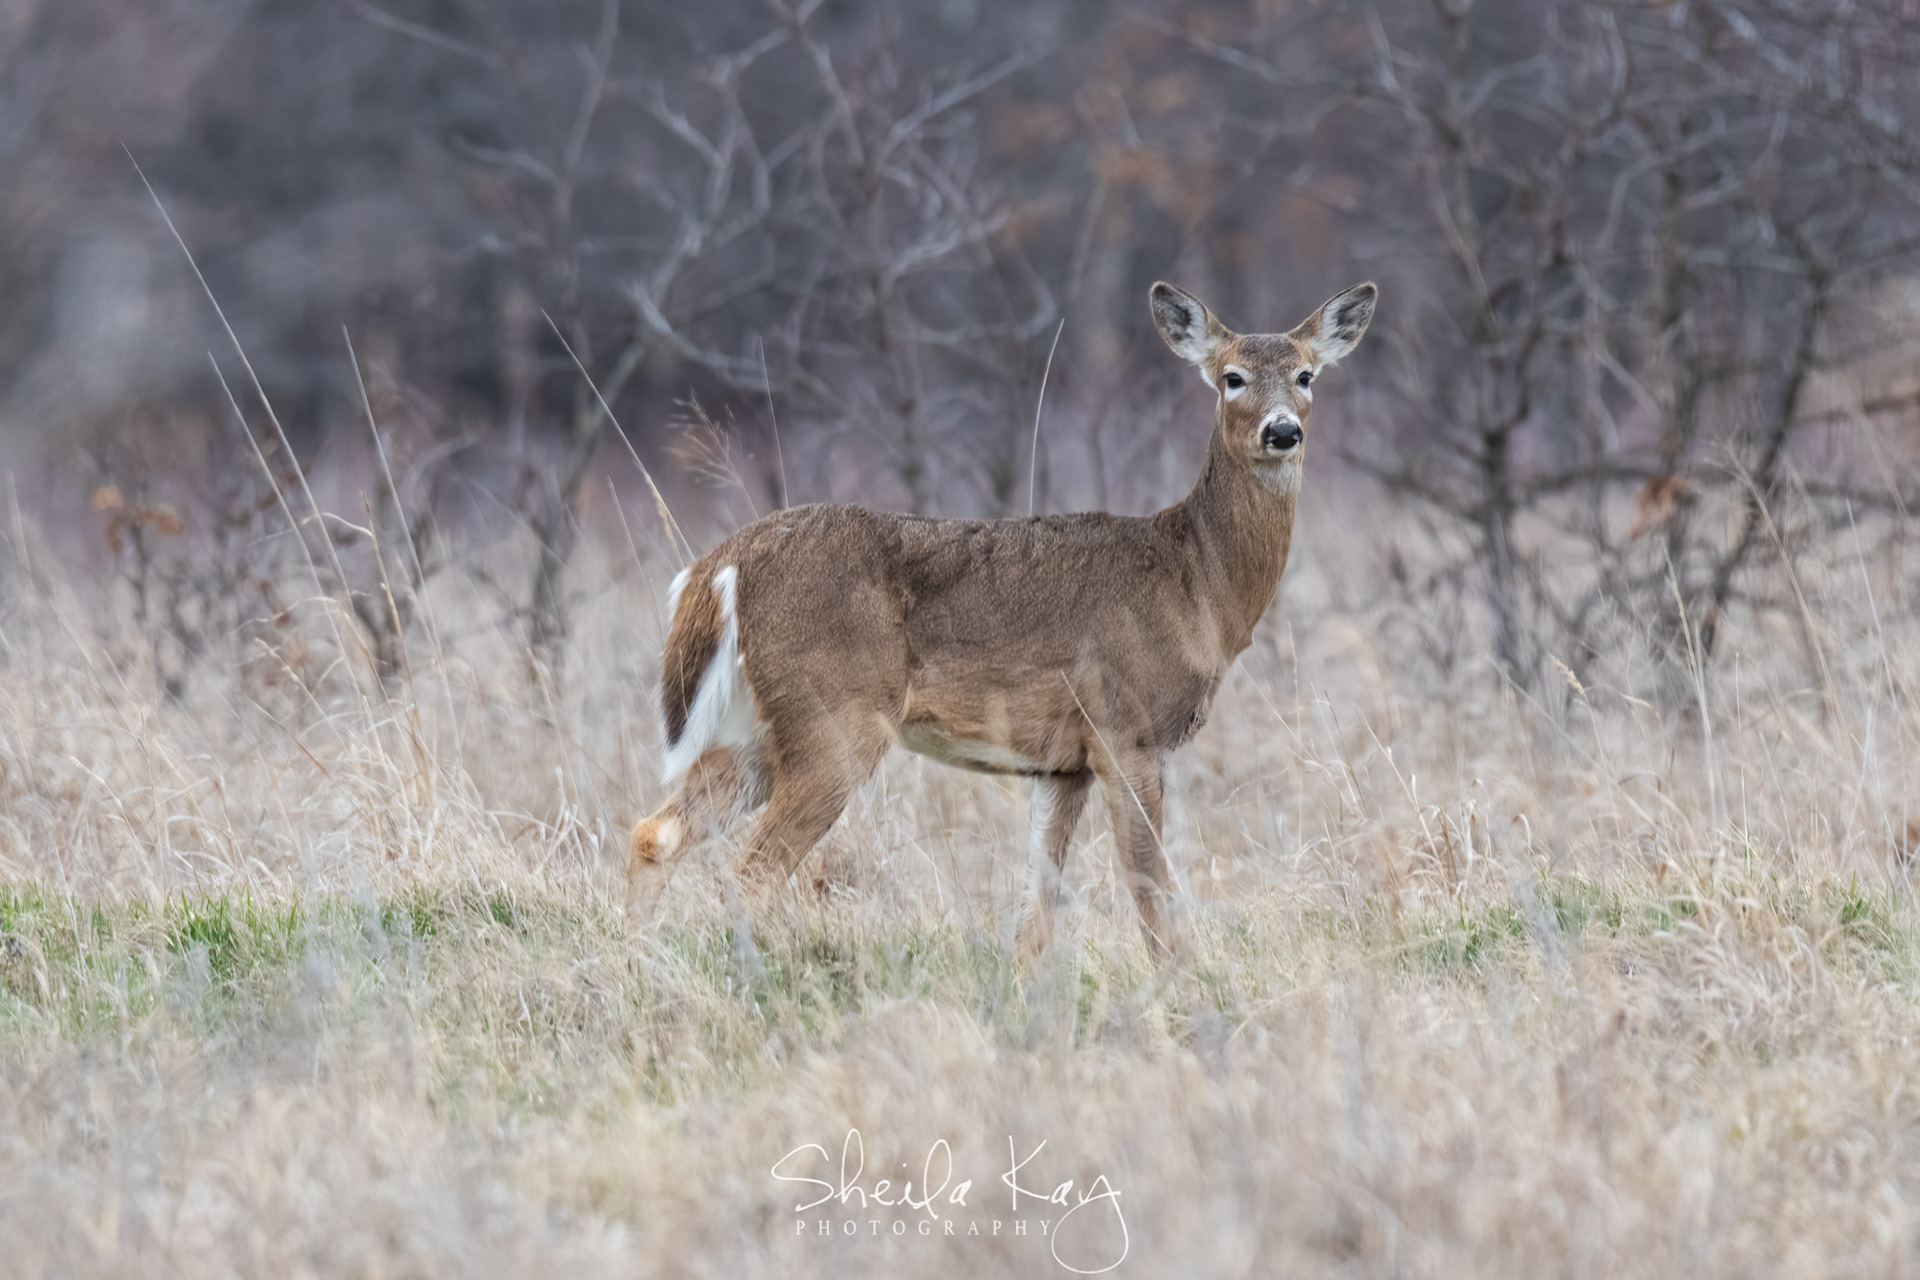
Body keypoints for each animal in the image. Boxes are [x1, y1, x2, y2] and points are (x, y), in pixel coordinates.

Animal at [627, 279, 1377, 964]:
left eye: (1307, 374)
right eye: (1232, 377)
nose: (1283, 431)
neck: (1196, 583)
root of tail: (719, 567)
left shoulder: (1062, 764)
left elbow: (1035, 910)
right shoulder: (1124, 727)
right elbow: (1148, 890)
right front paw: (1183, 988)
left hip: (751, 728)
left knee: (655, 834)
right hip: (833, 716)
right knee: (748, 870)